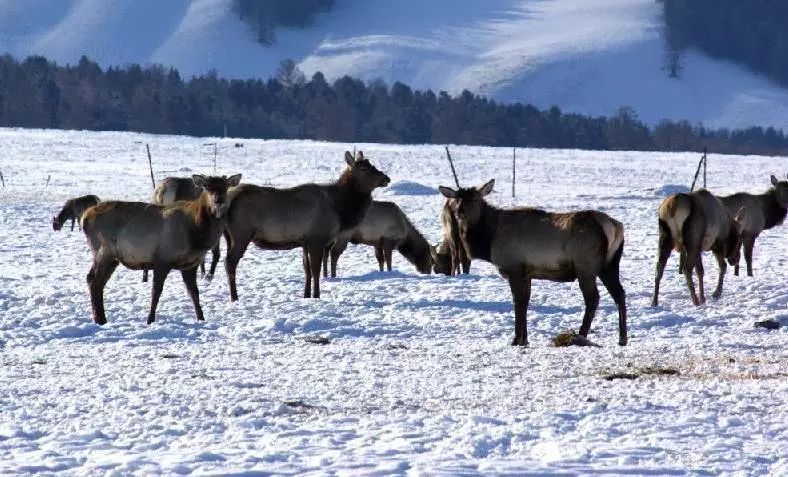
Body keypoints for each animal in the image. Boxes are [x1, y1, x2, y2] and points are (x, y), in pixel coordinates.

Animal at [80, 173, 242, 326]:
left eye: (225, 187)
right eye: (207, 187)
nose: (218, 201)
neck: (196, 234)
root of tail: (84, 218)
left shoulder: (190, 264)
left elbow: (194, 293)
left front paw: (201, 318)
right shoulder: (162, 259)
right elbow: (156, 292)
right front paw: (150, 320)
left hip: (113, 257)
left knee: (99, 282)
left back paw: (101, 319)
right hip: (102, 249)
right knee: (92, 279)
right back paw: (100, 319)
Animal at [223, 149, 390, 300]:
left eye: (372, 164)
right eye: (363, 168)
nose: (386, 178)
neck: (340, 210)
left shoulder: (305, 241)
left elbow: (307, 270)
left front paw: (306, 295)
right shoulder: (317, 238)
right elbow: (315, 270)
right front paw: (316, 295)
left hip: (229, 236)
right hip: (241, 234)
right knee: (229, 262)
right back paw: (234, 297)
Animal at [438, 178, 628, 346]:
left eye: (475, 198)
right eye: (457, 199)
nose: (460, 211)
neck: (489, 240)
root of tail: (616, 227)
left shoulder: (513, 268)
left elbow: (518, 302)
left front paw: (516, 340)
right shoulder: (527, 273)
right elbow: (525, 302)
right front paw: (525, 339)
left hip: (585, 265)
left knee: (593, 298)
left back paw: (580, 336)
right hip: (610, 265)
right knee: (619, 293)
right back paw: (622, 339)